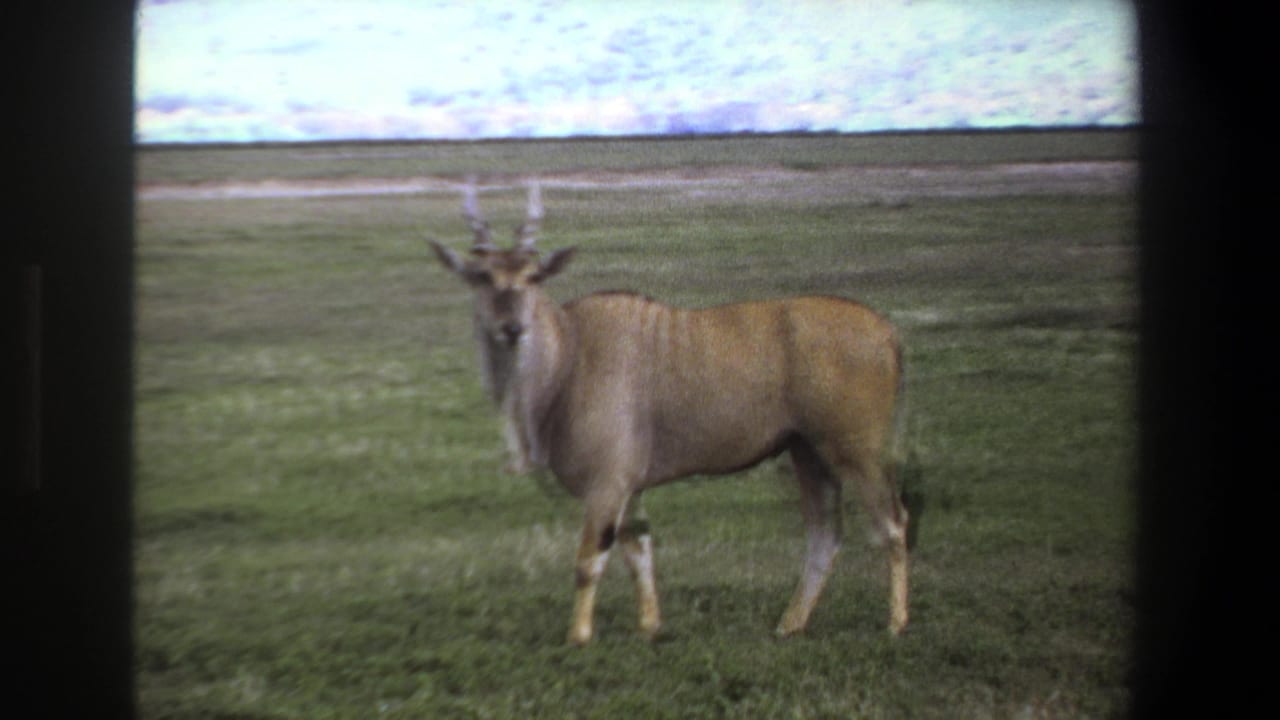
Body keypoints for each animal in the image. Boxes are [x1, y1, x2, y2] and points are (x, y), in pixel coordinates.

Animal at [428, 181, 909, 645]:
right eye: (481, 276)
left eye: (532, 276)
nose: (511, 328)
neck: (570, 352)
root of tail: (886, 331)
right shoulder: (630, 488)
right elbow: (639, 554)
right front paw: (650, 628)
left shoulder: (607, 484)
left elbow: (589, 562)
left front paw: (578, 636)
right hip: (807, 452)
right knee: (825, 535)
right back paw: (789, 625)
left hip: (855, 450)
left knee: (893, 523)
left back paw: (896, 623)